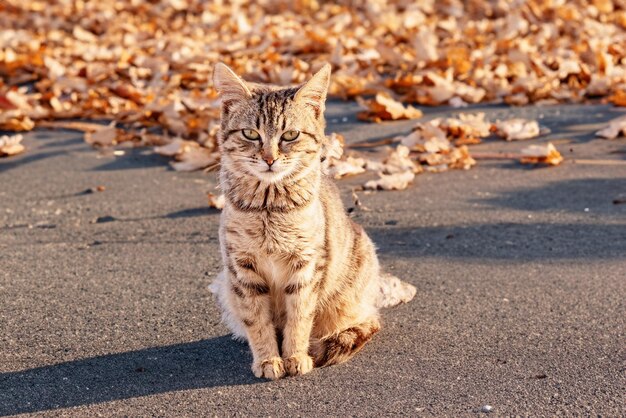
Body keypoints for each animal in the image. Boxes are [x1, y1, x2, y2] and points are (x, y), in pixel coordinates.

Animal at [208, 62, 414, 378]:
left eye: (290, 135)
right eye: (250, 134)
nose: (269, 159)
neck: (269, 207)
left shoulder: (306, 265)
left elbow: (300, 316)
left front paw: (295, 356)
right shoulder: (242, 267)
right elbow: (257, 321)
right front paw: (268, 359)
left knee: (368, 321)